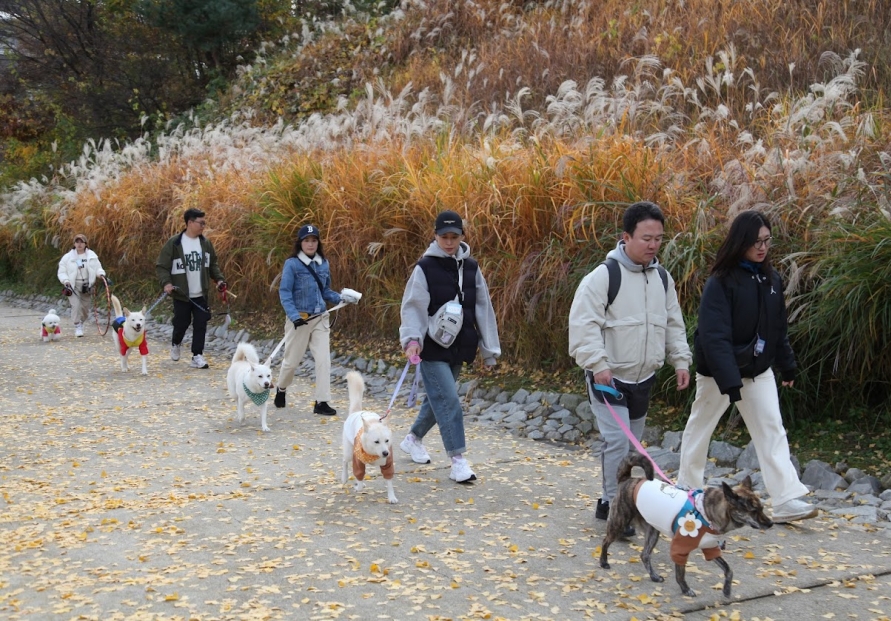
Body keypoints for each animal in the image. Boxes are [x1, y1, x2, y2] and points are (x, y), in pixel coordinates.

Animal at [342, 368, 398, 504]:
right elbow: (359, 476)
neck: (374, 454)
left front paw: (391, 497)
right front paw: (358, 486)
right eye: (376, 441)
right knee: (345, 461)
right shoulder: (357, 462)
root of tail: (356, 412)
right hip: (349, 452)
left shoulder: (388, 464)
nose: (385, 453)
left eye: (387, 440)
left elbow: (389, 482)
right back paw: (344, 478)